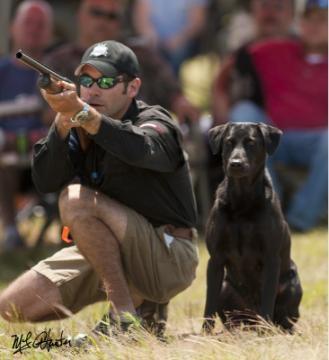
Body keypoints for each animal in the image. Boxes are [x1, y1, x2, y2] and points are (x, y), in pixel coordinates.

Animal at [202, 121, 302, 332]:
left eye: (251, 143)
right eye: (228, 142)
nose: (236, 163)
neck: (242, 200)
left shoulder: (271, 258)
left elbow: (268, 299)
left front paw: (267, 333)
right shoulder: (215, 260)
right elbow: (209, 305)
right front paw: (203, 334)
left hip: (292, 284)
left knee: (285, 318)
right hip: (227, 289)